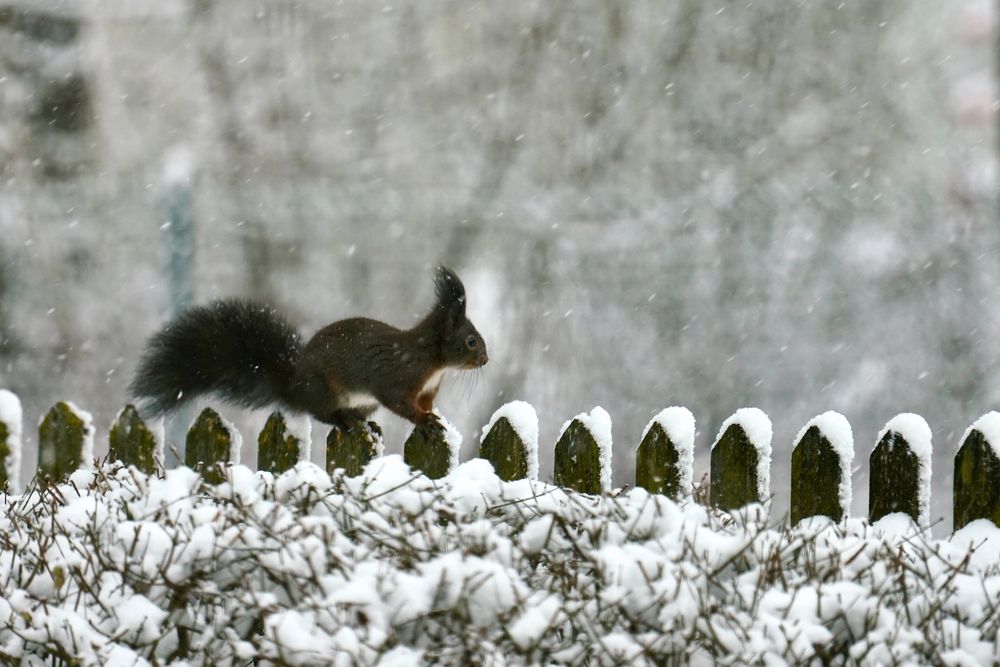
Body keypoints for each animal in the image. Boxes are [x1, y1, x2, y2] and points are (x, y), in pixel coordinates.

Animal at [129, 268, 488, 430]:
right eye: (471, 341)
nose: (486, 359)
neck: (433, 361)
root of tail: (293, 385)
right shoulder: (396, 378)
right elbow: (400, 403)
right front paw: (424, 421)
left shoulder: (427, 389)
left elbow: (425, 404)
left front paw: (431, 415)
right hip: (323, 389)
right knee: (320, 413)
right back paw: (343, 421)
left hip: (362, 402)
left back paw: (363, 422)